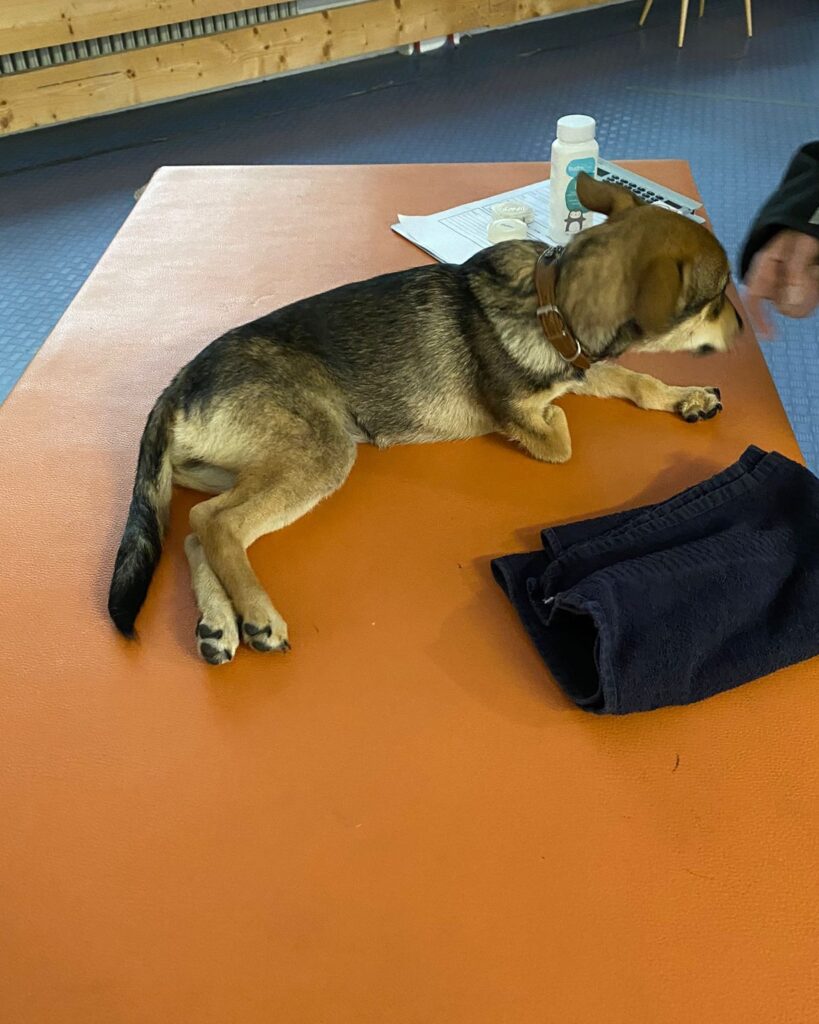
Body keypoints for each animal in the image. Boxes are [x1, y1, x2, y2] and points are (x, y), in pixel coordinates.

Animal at [108, 172, 742, 664]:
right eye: (714, 300)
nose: (743, 328)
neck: (551, 302)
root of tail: (175, 387)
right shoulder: (526, 412)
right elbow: (560, 433)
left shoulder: (584, 367)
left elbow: (637, 381)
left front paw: (685, 396)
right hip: (322, 450)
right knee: (217, 524)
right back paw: (259, 615)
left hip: (241, 469)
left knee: (197, 531)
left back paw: (219, 624)